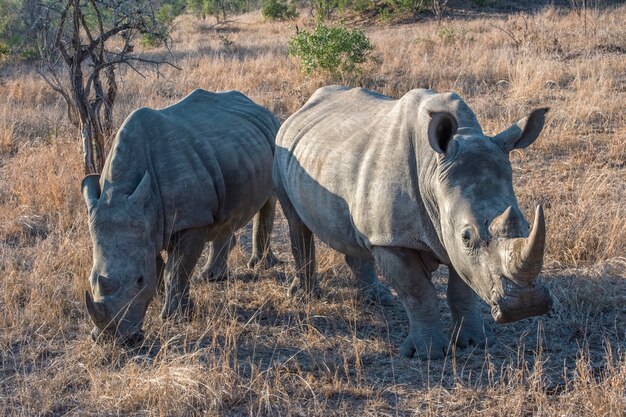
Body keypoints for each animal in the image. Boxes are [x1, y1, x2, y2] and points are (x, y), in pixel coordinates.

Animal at [81, 88, 280, 344]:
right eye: (91, 280)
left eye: (138, 280)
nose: (113, 339)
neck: (119, 190)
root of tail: (259, 106)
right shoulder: (147, 223)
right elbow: (157, 264)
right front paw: (158, 298)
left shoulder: (191, 220)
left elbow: (176, 269)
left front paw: (175, 316)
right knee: (226, 215)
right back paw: (212, 277)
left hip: (274, 135)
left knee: (269, 199)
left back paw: (260, 265)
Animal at [272, 84, 552, 358]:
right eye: (466, 236)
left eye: (526, 225)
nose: (525, 306)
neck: (433, 171)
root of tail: (304, 107)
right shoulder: (392, 240)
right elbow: (418, 292)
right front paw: (428, 353)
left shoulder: (449, 238)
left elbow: (462, 289)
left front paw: (475, 342)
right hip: (280, 144)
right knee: (296, 221)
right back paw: (304, 295)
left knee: (356, 233)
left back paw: (377, 298)